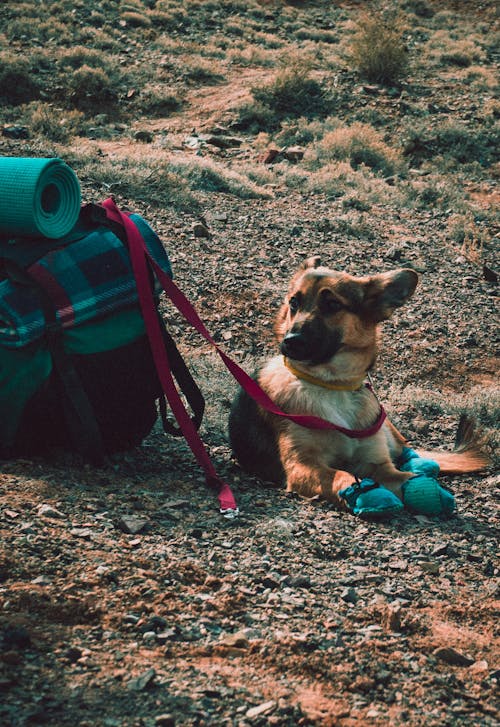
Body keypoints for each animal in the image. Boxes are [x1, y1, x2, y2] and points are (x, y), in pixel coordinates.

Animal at [229, 258, 488, 512]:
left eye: (332, 304)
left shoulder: (377, 462)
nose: (290, 342)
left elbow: (401, 476)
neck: (332, 385)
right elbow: (341, 475)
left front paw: (425, 488)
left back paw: (421, 465)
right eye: (294, 302)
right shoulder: (302, 466)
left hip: (383, 426)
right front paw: (366, 494)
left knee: (405, 448)